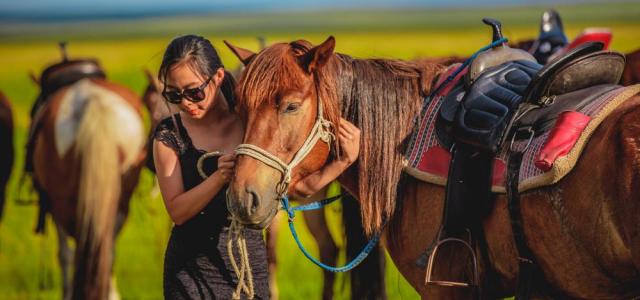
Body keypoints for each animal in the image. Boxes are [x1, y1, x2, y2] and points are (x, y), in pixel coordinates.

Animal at [31, 78, 146, 300]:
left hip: (62, 203)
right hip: (120, 203)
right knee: (107, 248)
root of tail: (93, 100)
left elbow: (65, 254)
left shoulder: (56, 207)